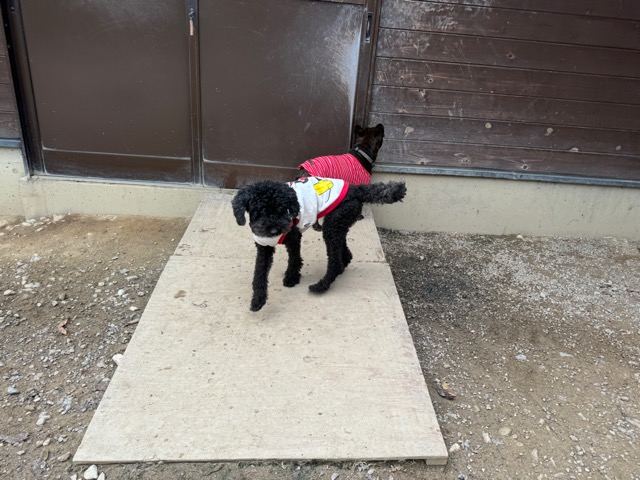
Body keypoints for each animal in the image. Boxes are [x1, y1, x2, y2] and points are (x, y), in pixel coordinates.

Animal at [232, 176, 406, 311]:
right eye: (259, 210)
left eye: (282, 209)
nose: (275, 230)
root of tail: (356, 189)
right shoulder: (264, 246)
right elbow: (259, 273)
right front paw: (258, 300)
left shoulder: (294, 238)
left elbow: (294, 260)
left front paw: (292, 278)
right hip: (338, 225)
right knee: (346, 254)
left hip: (333, 226)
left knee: (335, 262)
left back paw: (321, 285)